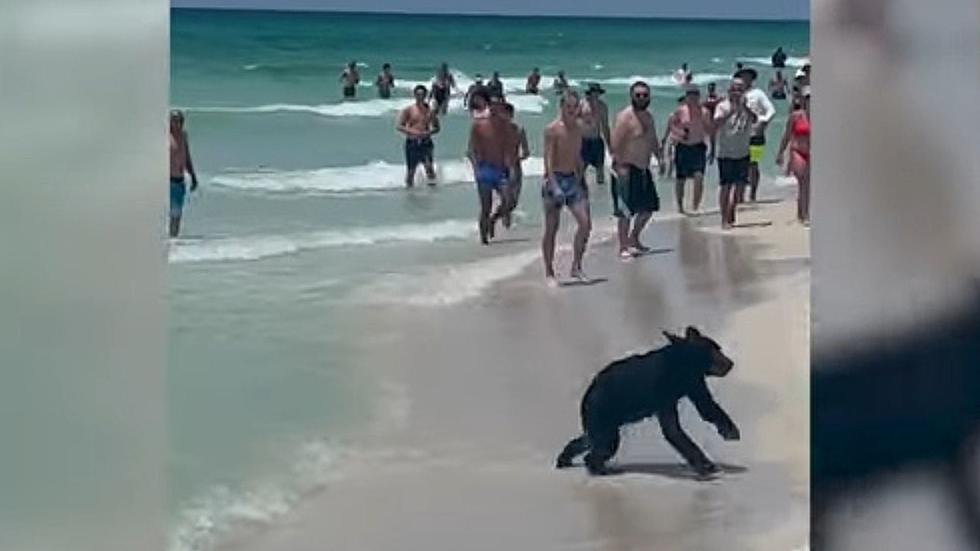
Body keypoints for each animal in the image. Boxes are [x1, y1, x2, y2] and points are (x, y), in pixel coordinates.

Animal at [556, 328, 740, 478]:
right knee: (605, 442)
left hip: (603, 420)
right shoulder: (663, 387)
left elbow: (707, 407)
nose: (730, 363)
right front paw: (706, 466)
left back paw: (565, 459)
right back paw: (601, 469)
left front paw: (730, 431)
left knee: (589, 439)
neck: (683, 365)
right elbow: (673, 429)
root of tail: (586, 394)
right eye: (715, 350)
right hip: (601, 412)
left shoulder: (693, 382)